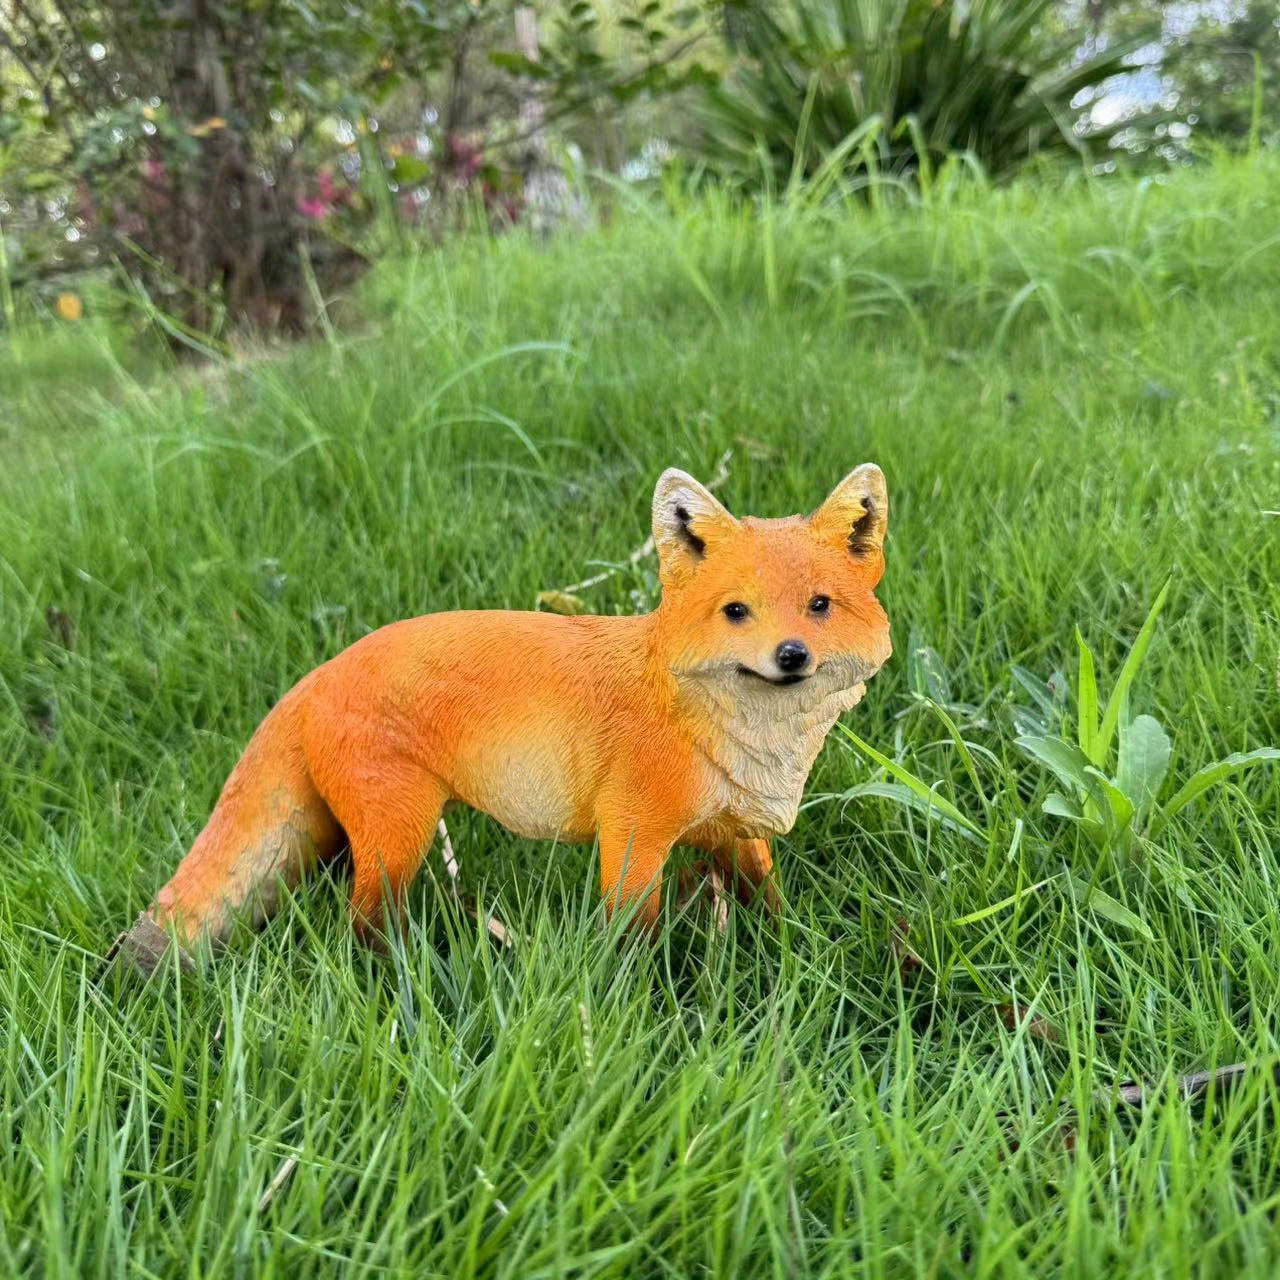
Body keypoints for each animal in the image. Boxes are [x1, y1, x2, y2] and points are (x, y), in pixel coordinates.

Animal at [111, 464, 892, 971]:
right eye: (736, 611)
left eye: (819, 606)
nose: (791, 655)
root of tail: (318, 673)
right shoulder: (632, 837)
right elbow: (632, 939)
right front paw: (645, 1002)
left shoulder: (732, 831)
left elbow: (769, 902)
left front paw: (790, 954)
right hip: (401, 833)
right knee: (361, 927)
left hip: (346, 832)